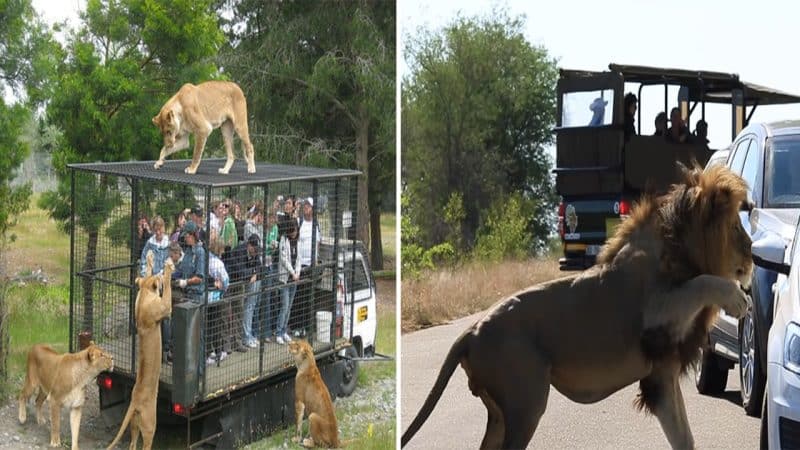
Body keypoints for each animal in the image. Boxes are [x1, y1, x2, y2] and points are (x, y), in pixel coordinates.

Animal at [404, 165, 752, 450]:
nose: (752, 251)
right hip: (526, 404)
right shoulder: (656, 311)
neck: (678, 249)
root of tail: (470, 333)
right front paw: (738, 299)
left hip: (502, 414)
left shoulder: (662, 372)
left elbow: (683, 437)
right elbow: (701, 283)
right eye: (736, 226)